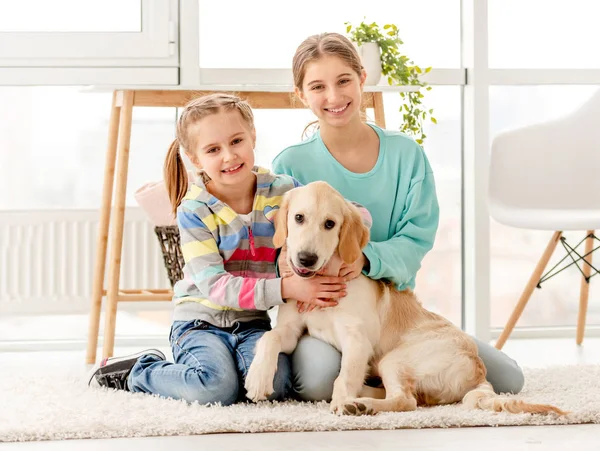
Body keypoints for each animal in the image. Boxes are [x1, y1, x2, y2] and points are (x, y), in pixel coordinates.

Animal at [243, 181, 564, 416]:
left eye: (330, 224)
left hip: (395, 359)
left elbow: (343, 376)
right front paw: (258, 378)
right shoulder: (290, 329)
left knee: (405, 400)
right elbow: (270, 338)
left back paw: (361, 404)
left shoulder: (357, 340)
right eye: (299, 218)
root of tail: (479, 373)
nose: (305, 259)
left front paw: (340, 401)